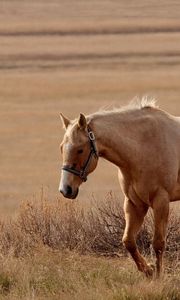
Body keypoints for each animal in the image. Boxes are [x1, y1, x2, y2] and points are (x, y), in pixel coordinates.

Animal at [59, 99, 180, 278]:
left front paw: (158, 276)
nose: (65, 189)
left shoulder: (161, 201)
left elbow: (158, 243)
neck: (144, 145)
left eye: (80, 149)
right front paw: (148, 270)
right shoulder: (135, 203)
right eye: (61, 147)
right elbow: (128, 241)